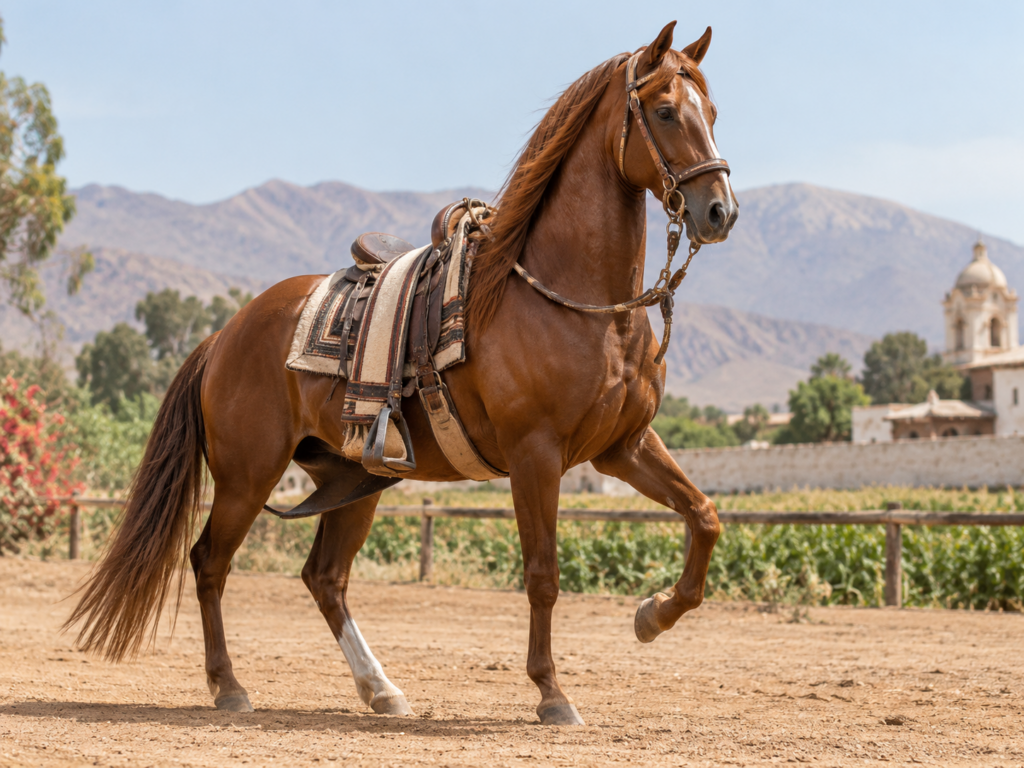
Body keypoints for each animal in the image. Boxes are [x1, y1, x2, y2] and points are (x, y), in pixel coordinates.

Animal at [65, 21, 738, 726]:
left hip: (352, 479)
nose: (720, 211)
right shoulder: (537, 455)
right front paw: (552, 693)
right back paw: (229, 686)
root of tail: (225, 335)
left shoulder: (622, 447)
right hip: (248, 476)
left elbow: (704, 516)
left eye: (713, 112)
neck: (573, 302)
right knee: (209, 563)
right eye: (664, 111)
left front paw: (652, 615)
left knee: (324, 578)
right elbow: (543, 573)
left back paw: (380, 688)